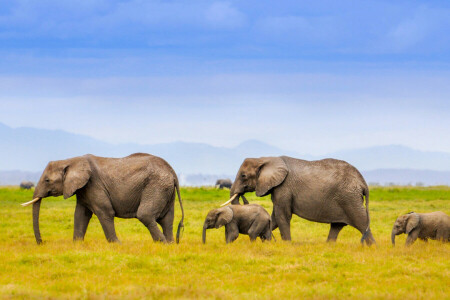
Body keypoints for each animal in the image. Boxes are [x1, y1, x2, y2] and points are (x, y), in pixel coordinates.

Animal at [20, 152, 185, 244]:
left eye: (47, 180)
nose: (42, 242)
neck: (71, 160)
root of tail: (172, 172)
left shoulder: (94, 185)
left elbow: (105, 212)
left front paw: (117, 244)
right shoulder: (84, 189)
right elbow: (80, 215)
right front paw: (77, 245)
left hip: (156, 186)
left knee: (145, 215)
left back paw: (162, 243)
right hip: (165, 190)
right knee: (167, 219)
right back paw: (169, 244)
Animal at [222, 156, 376, 245]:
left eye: (243, 175)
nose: (242, 197)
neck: (265, 158)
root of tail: (363, 183)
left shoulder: (284, 188)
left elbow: (282, 215)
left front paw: (287, 244)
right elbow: (274, 218)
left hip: (349, 199)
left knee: (362, 222)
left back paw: (373, 247)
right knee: (337, 226)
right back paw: (329, 246)